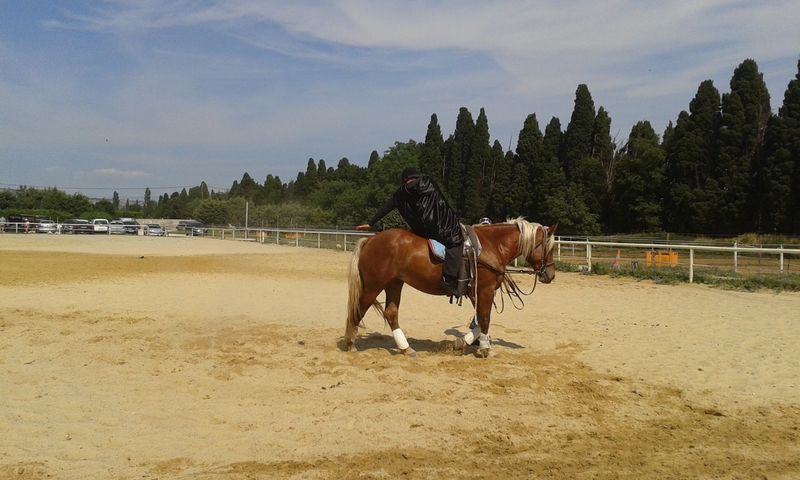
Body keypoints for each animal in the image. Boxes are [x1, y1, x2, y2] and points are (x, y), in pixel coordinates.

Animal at [343, 218, 557, 358]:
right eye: (551, 247)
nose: (551, 275)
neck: (492, 246)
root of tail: (370, 240)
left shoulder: (475, 292)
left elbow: (478, 320)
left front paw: (462, 342)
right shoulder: (485, 290)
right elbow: (485, 319)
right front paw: (485, 349)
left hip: (394, 284)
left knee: (391, 313)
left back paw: (406, 348)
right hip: (373, 286)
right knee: (358, 310)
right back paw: (350, 344)